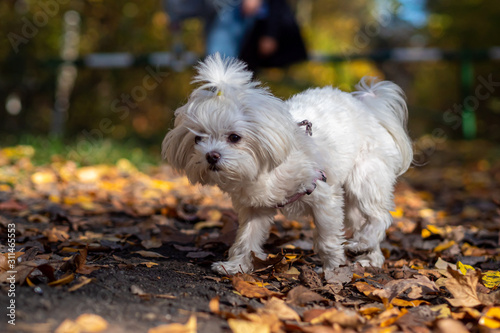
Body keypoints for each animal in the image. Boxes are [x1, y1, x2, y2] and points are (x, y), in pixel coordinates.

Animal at [162, 53, 412, 274]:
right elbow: (246, 239)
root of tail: (369, 108)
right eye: (198, 139)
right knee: (364, 221)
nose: (211, 155)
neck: (263, 173)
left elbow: (327, 239)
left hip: (364, 179)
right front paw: (235, 266)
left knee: (379, 217)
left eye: (234, 137)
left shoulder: (323, 195)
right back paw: (371, 257)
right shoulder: (255, 209)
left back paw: (361, 244)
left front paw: (332, 269)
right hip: (351, 199)